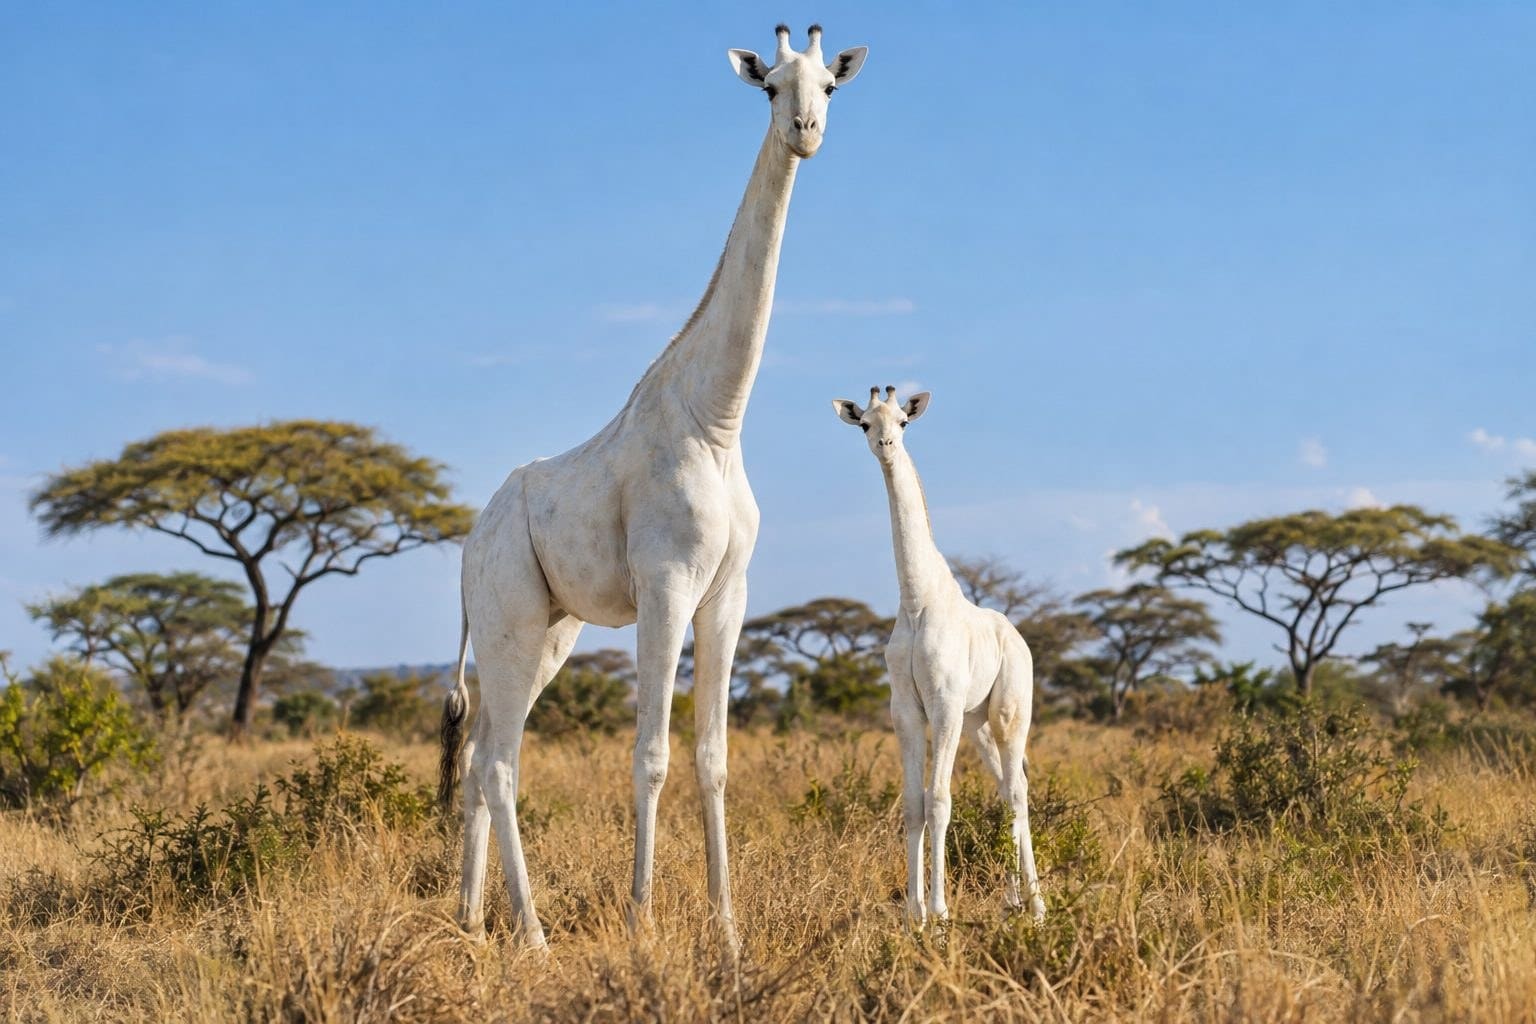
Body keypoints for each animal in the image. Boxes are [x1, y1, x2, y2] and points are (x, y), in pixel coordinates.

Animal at [439, 25, 869, 951]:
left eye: (829, 85)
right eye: (769, 87)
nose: (807, 132)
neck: (718, 417)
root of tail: (467, 546)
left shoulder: (728, 595)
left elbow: (713, 760)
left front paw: (729, 928)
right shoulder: (666, 585)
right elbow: (651, 758)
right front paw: (641, 918)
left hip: (546, 632)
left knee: (483, 757)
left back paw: (472, 919)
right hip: (509, 622)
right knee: (500, 763)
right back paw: (533, 936)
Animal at [831, 387, 1046, 925]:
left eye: (904, 422)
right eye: (864, 423)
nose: (886, 445)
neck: (916, 599)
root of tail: (1018, 637)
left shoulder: (943, 704)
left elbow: (940, 800)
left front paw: (941, 911)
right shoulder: (905, 709)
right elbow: (913, 803)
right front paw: (914, 913)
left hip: (1010, 713)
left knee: (1018, 792)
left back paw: (1037, 907)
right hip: (977, 724)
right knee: (1004, 790)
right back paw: (1013, 899)